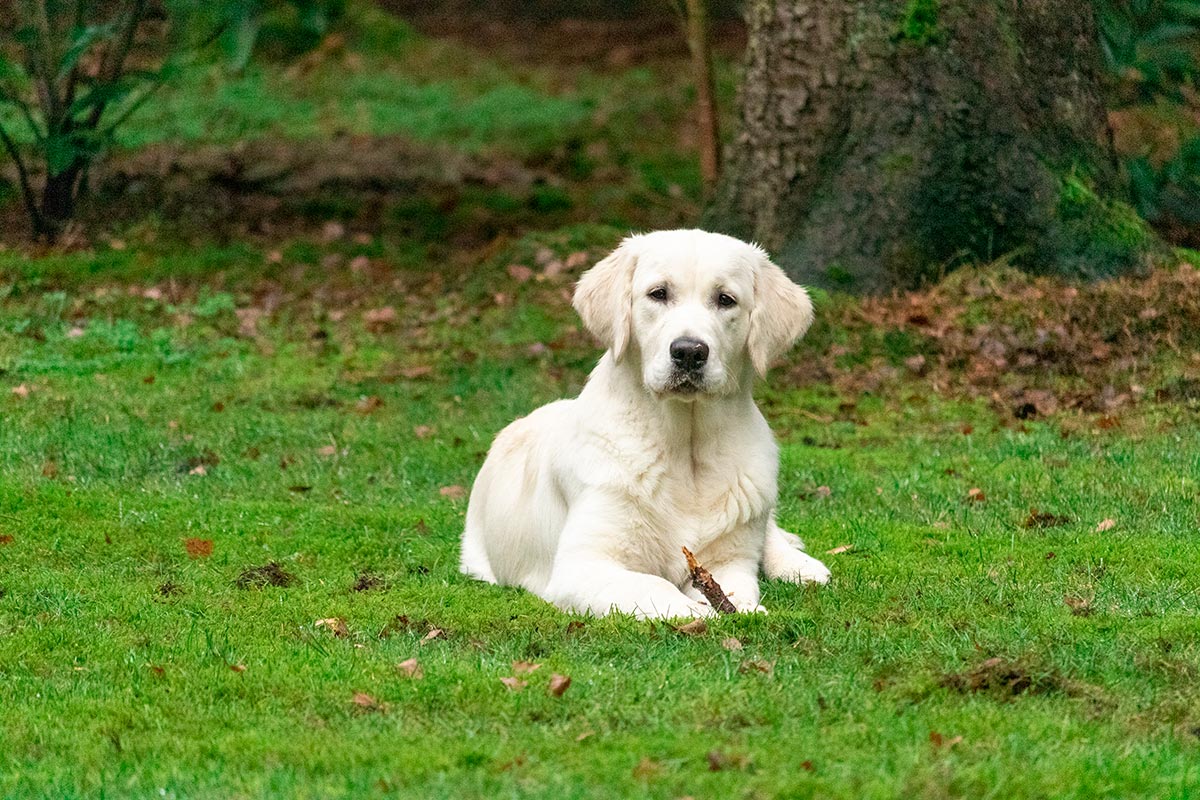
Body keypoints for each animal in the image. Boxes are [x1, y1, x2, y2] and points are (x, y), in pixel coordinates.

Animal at [453, 226, 830, 618]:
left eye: (725, 299)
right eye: (658, 293)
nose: (689, 352)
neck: (685, 446)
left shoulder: (729, 560)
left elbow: (732, 585)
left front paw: (741, 606)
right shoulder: (583, 565)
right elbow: (656, 586)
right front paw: (703, 613)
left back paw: (801, 566)